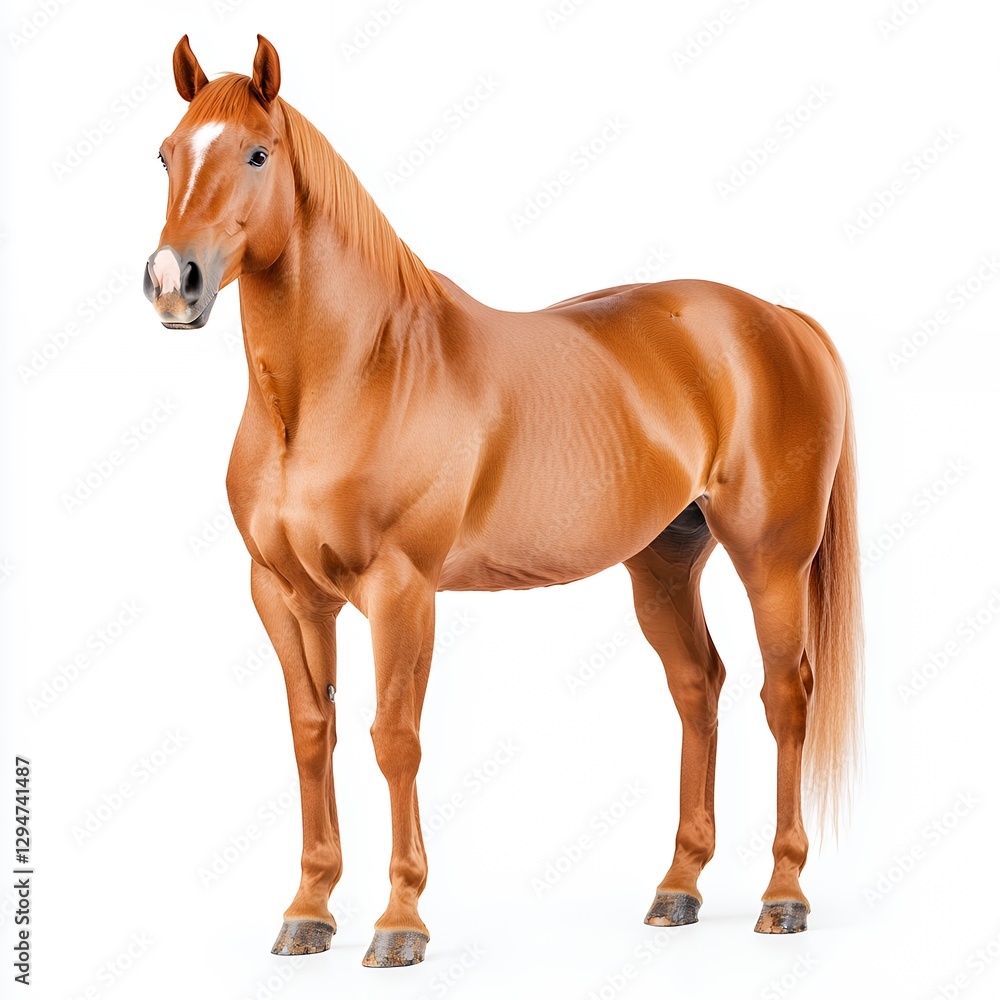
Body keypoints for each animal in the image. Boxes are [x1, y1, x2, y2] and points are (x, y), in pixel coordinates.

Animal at [144, 34, 863, 968]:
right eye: (166, 154)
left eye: (258, 154)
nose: (173, 282)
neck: (349, 378)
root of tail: (775, 318)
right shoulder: (285, 592)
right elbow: (311, 735)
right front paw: (308, 911)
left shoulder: (400, 590)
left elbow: (393, 738)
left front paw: (400, 923)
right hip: (664, 563)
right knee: (698, 686)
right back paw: (678, 889)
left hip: (772, 559)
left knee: (786, 697)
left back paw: (783, 896)